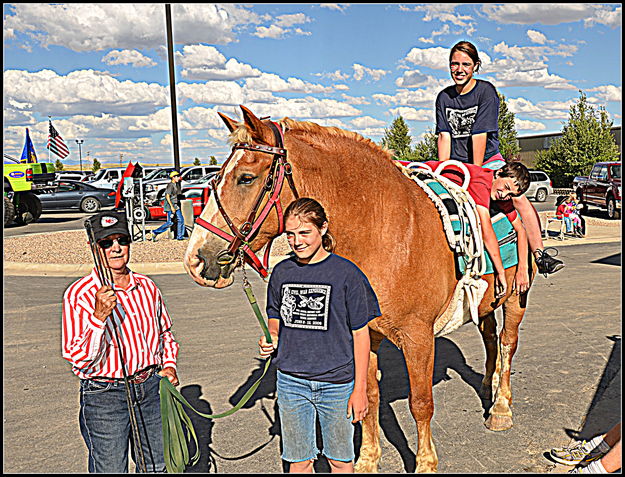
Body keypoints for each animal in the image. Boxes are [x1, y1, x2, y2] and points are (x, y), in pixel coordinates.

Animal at [182, 105, 536, 472]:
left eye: (246, 178)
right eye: (214, 179)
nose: (196, 259)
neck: (387, 231)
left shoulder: (418, 336)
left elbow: (421, 402)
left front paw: (425, 462)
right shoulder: (365, 332)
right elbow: (369, 397)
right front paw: (367, 459)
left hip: (516, 298)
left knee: (507, 344)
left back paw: (500, 407)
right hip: (486, 302)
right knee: (490, 337)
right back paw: (487, 387)